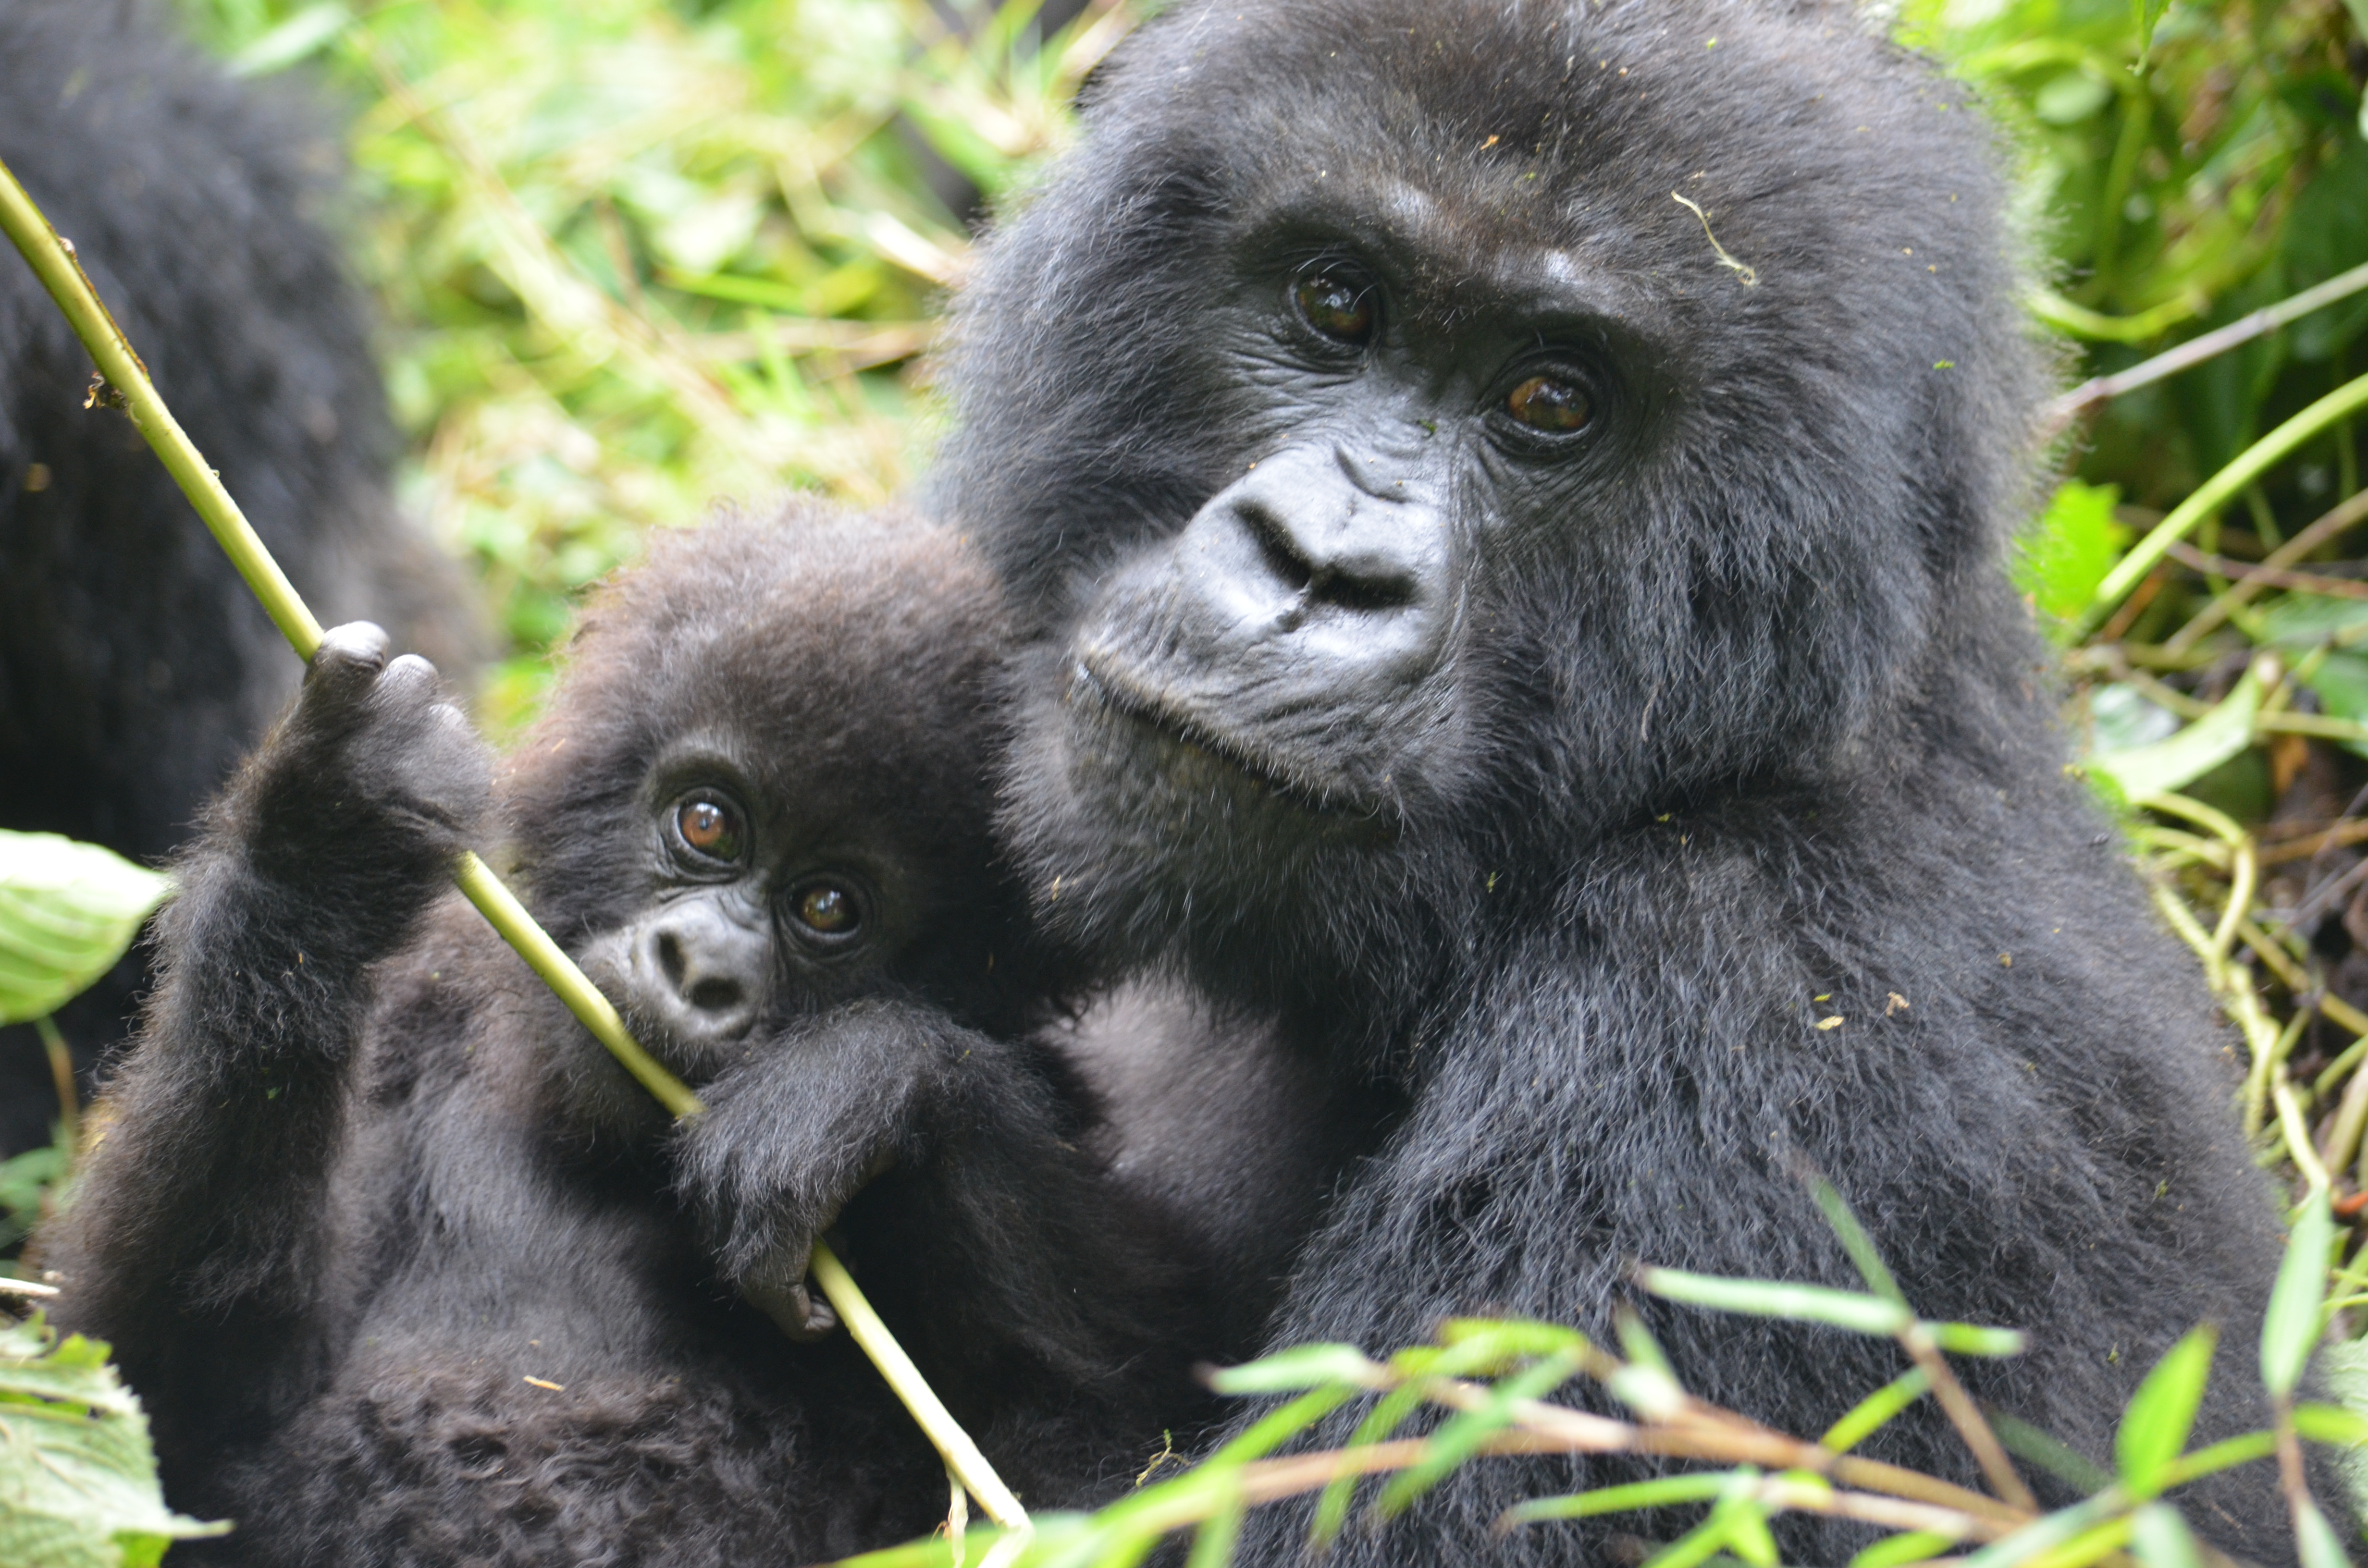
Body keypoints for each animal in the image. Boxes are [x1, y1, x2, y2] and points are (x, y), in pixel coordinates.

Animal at [41, 509, 1203, 1563]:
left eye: (829, 907)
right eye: (707, 823)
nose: (701, 971)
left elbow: (1124, 1445)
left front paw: (863, 1083)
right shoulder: (419, 1006)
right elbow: (160, 1422)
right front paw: (321, 839)